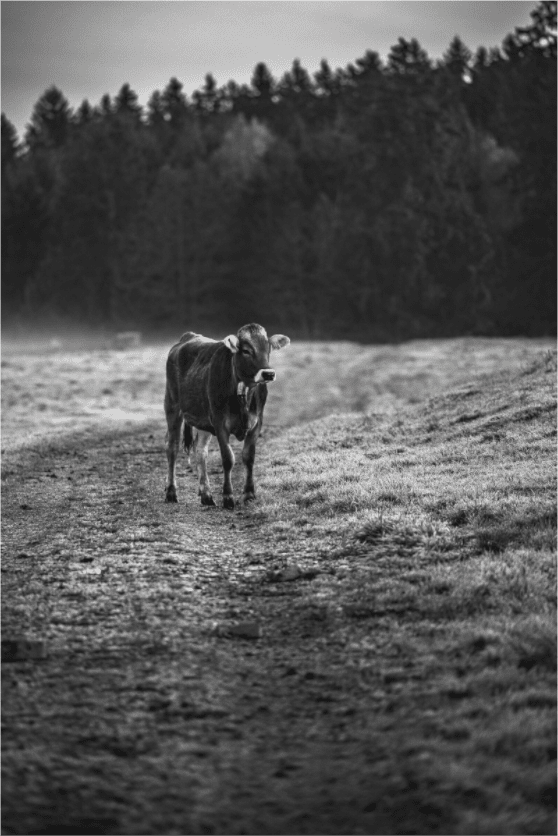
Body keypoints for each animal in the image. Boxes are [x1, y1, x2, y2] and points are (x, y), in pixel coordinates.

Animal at [164, 323, 290, 510]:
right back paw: (171, 492)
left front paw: (249, 494)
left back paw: (206, 495)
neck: (243, 393)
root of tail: (188, 336)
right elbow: (228, 459)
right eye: (246, 350)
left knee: (200, 451)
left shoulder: (256, 423)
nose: (268, 374)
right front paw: (228, 497)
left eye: (268, 348)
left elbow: (249, 457)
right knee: (172, 447)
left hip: (203, 420)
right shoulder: (219, 423)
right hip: (172, 406)